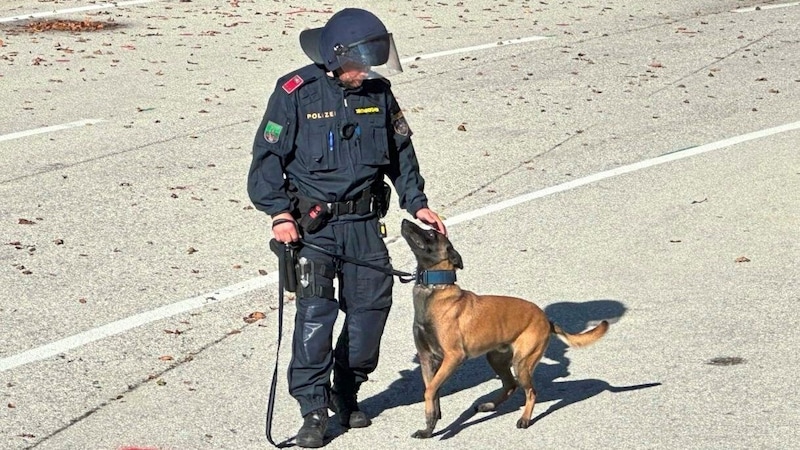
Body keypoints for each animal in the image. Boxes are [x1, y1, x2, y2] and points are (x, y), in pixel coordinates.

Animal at [396, 220, 608, 438]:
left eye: (431, 233)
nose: (404, 221)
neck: (435, 290)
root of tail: (546, 319)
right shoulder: (427, 359)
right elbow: (433, 392)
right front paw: (429, 427)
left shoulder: (453, 357)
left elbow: (429, 391)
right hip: (496, 358)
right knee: (510, 385)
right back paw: (489, 405)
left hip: (521, 363)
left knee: (531, 391)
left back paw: (525, 419)